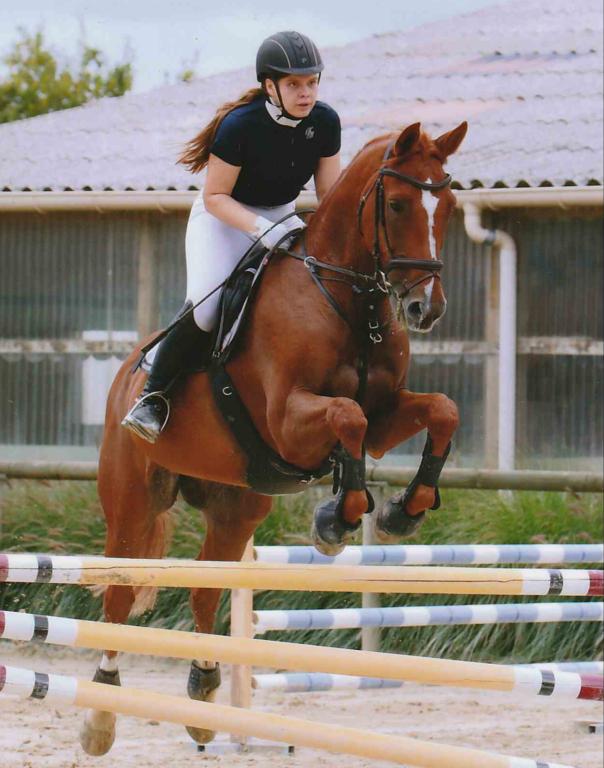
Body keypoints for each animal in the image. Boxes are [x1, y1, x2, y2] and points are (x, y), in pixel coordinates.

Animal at [79, 121, 468, 756]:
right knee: (119, 593)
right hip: (133, 500)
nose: (424, 309)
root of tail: (125, 376)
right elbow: (347, 419)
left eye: (450, 206)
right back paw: (100, 713)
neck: (348, 298)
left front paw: (401, 512)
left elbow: (440, 411)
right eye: (397, 203)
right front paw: (336, 521)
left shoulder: (386, 415)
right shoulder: (288, 423)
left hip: (237, 504)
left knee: (206, 589)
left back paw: (204, 692)